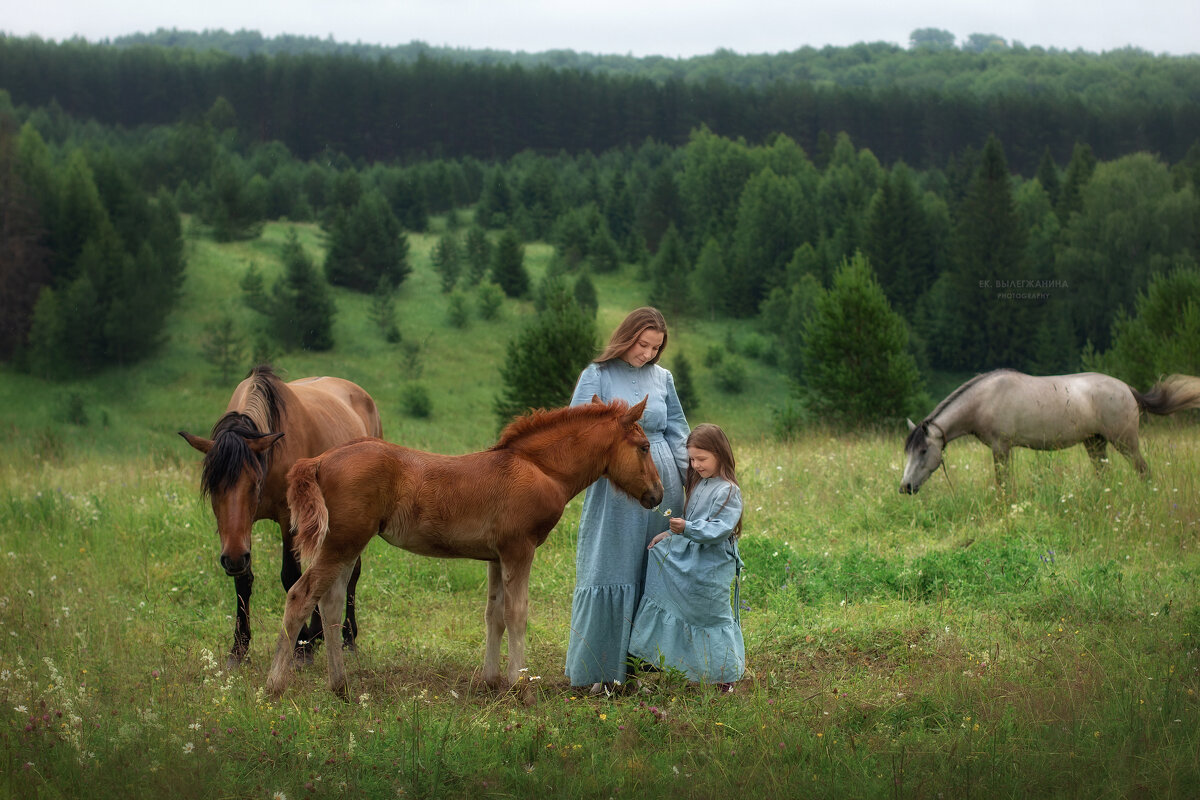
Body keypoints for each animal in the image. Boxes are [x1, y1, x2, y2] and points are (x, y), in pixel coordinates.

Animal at [902, 371, 1200, 494]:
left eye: (924, 450)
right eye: (908, 452)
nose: (905, 487)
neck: (985, 398)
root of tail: (1127, 388)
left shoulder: (1001, 448)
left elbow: (1003, 482)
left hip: (1125, 442)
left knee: (1143, 471)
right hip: (1095, 444)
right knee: (1104, 474)